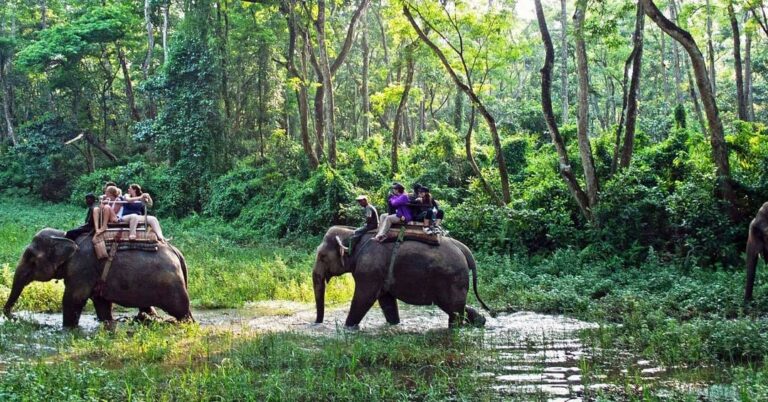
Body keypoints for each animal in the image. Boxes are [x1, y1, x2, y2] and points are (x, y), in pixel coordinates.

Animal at [3, 228, 193, 328]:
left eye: (31, 257)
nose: (14, 316)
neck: (65, 237)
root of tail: (177, 252)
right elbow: (101, 303)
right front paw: (108, 323)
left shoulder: (82, 268)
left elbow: (73, 299)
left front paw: (68, 329)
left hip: (171, 286)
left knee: (182, 311)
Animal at [312, 226, 493, 329]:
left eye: (322, 256)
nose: (317, 323)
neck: (353, 234)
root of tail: (464, 249)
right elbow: (386, 300)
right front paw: (394, 324)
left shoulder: (369, 270)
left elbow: (364, 297)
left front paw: (348, 328)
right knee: (456, 307)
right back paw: (481, 321)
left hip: (451, 278)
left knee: (453, 310)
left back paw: (455, 328)